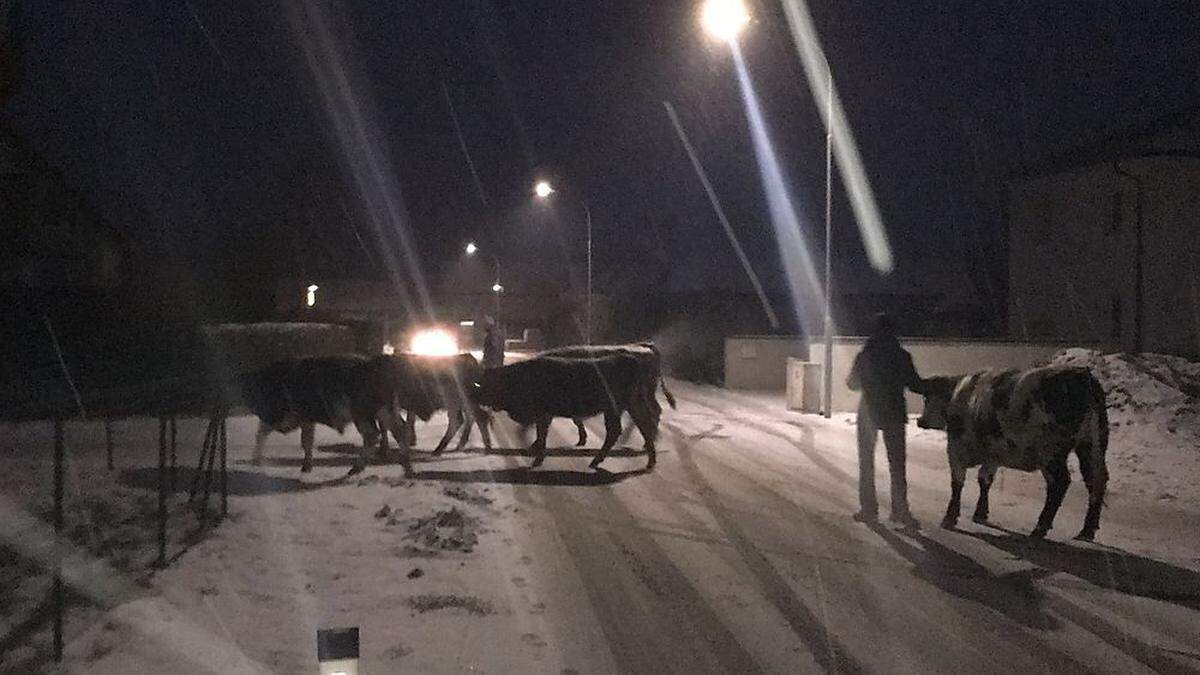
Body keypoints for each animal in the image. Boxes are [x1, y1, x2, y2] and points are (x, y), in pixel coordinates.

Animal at [237, 355, 408, 475]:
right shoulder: (306, 420)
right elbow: (306, 440)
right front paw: (306, 467)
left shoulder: (299, 417)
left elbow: (300, 440)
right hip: (385, 412)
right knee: (398, 430)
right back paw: (406, 467)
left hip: (363, 414)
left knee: (373, 435)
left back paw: (355, 469)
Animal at [470, 353, 657, 468]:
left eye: (488, 384)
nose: (474, 394)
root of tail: (630, 359)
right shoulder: (546, 415)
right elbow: (540, 434)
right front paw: (534, 450)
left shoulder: (542, 413)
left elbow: (540, 434)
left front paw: (536, 457)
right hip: (632, 405)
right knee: (644, 426)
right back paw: (650, 461)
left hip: (613, 408)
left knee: (616, 431)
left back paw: (596, 461)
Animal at [537, 341, 676, 446]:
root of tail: (646, 346)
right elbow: (575, 419)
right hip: (646, 393)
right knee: (654, 409)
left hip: (646, 391)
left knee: (653, 411)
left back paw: (648, 440)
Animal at [916, 365, 1104, 538]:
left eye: (928, 397)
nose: (920, 421)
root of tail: (1080, 373)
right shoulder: (992, 456)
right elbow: (984, 480)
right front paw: (980, 513)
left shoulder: (955, 449)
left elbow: (957, 483)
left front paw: (949, 518)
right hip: (1091, 448)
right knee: (1096, 482)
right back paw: (1087, 531)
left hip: (1051, 453)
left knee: (1060, 483)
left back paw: (1039, 529)